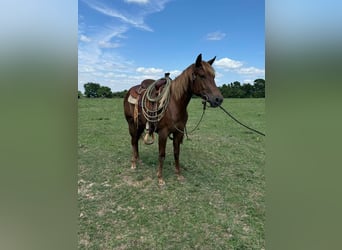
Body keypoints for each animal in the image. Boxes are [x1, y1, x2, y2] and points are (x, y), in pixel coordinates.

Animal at [124, 53, 223, 185]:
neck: (174, 104)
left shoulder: (178, 133)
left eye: (213, 76)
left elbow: (177, 153)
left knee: (136, 141)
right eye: (202, 76)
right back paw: (133, 164)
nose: (218, 99)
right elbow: (162, 154)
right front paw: (160, 178)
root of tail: (130, 91)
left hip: (140, 125)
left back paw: (138, 160)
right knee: (133, 141)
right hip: (131, 123)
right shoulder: (163, 133)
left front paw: (179, 175)